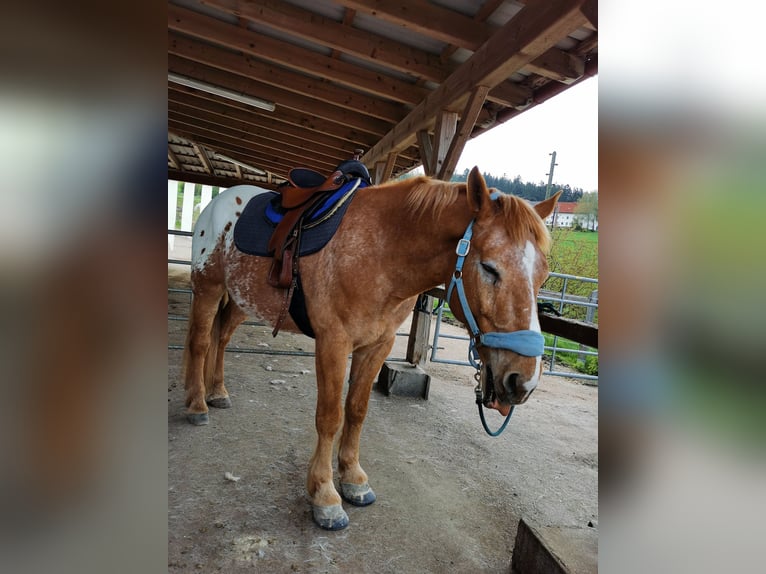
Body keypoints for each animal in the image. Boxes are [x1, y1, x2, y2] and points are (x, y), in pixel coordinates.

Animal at [183, 169, 560, 532]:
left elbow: (357, 410)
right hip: (208, 289)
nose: (523, 381)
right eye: (489, 268)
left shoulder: (378, 345)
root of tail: (217, 203)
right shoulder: (333, 343)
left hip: (240, 300)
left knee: (220, 338)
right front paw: (324, 495)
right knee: (199, 342)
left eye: (543, 276)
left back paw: (217, 392)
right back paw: (197, 403)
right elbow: (330, 417)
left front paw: (352, 479)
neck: (381, 252)